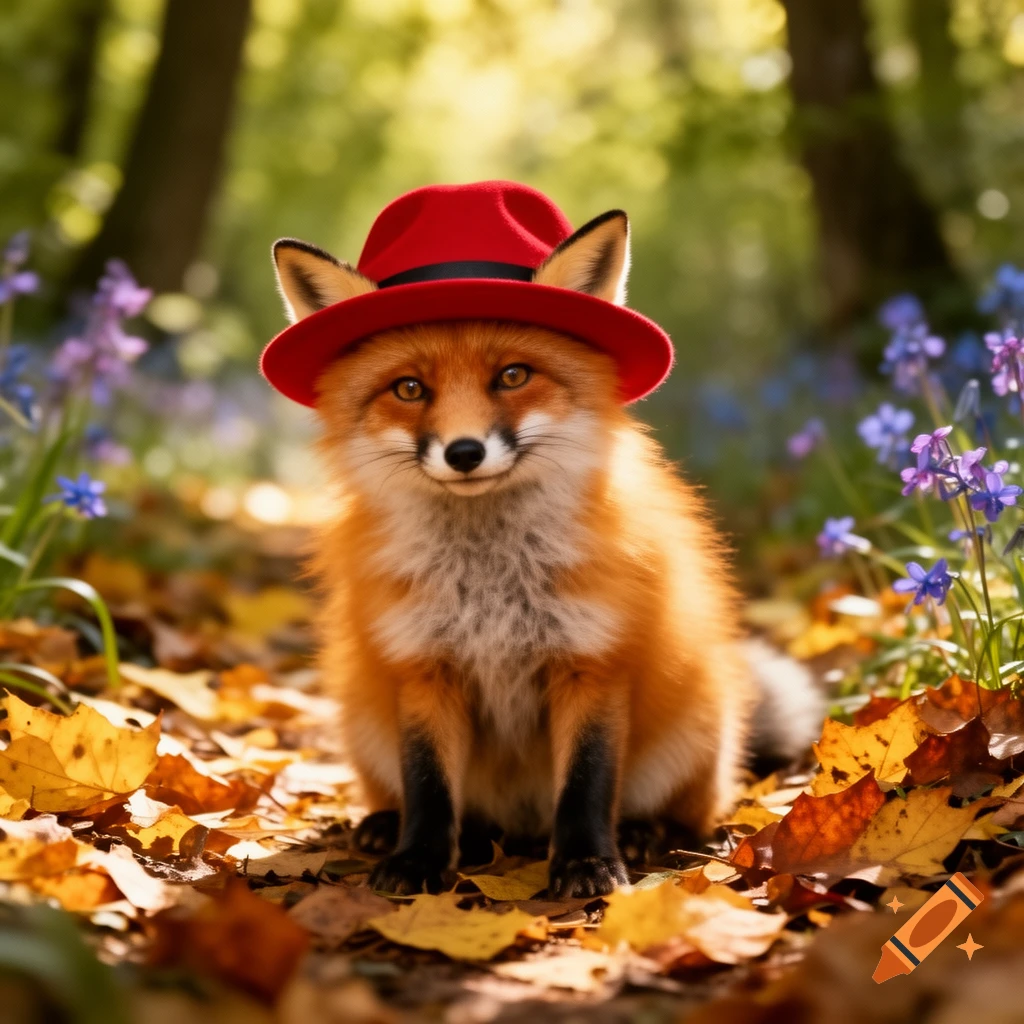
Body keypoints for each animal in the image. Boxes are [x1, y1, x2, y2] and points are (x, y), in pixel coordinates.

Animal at [270, 197, 820, 898]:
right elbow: (427, 785)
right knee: (443, 807)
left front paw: (587, 864)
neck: (490, 585)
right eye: (409, 389)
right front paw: (418, 860)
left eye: (512, 375)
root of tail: (521, 825)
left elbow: (586, 783)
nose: (465, 452)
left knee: (684, 814)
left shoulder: (593, 662)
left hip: (694, 734)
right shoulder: (424, 667)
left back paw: (644, 834)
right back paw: (399, 829)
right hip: (367, 726)